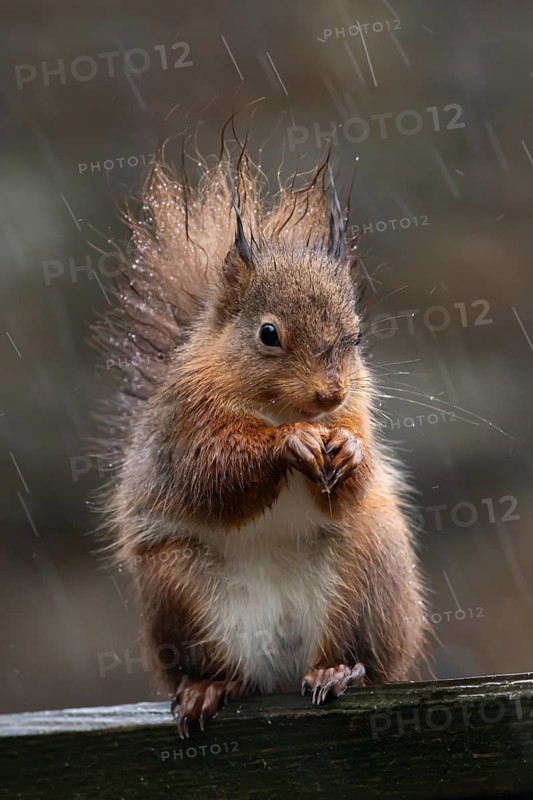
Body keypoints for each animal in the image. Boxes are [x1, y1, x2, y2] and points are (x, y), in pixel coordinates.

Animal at [92, 138, 427, 738]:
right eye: (268, 334)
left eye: (356, 337)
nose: (330, 393)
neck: (277, 409)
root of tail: (282, 672)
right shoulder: (184, 428)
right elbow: (213, 473)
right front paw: (290, 444)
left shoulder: (355, 414)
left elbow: (353, 476)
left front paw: (349, 452)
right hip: (178, 590)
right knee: (226, 671)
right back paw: (207, 687)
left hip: (368, 570)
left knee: (366, 658)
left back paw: (340, 671)